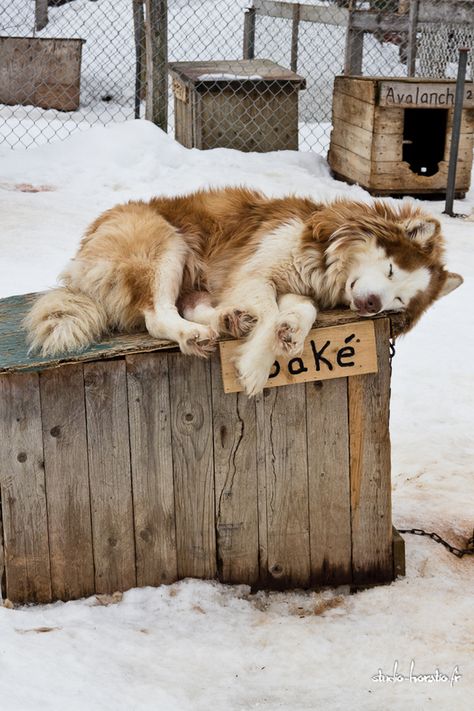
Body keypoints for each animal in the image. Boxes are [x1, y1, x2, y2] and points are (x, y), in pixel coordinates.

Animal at [25, 188, 462, 394]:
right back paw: (194, 333)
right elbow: (268, 313)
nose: (371, 304)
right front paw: (255, 366)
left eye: (398, 303)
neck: (324, 258)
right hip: (166, 243)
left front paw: (291, 331)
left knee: (194, 304)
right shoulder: (253, 272)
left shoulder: (295, 287)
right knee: (157, 315)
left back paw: (228, 318)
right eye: (390, 270)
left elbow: (302, 310)